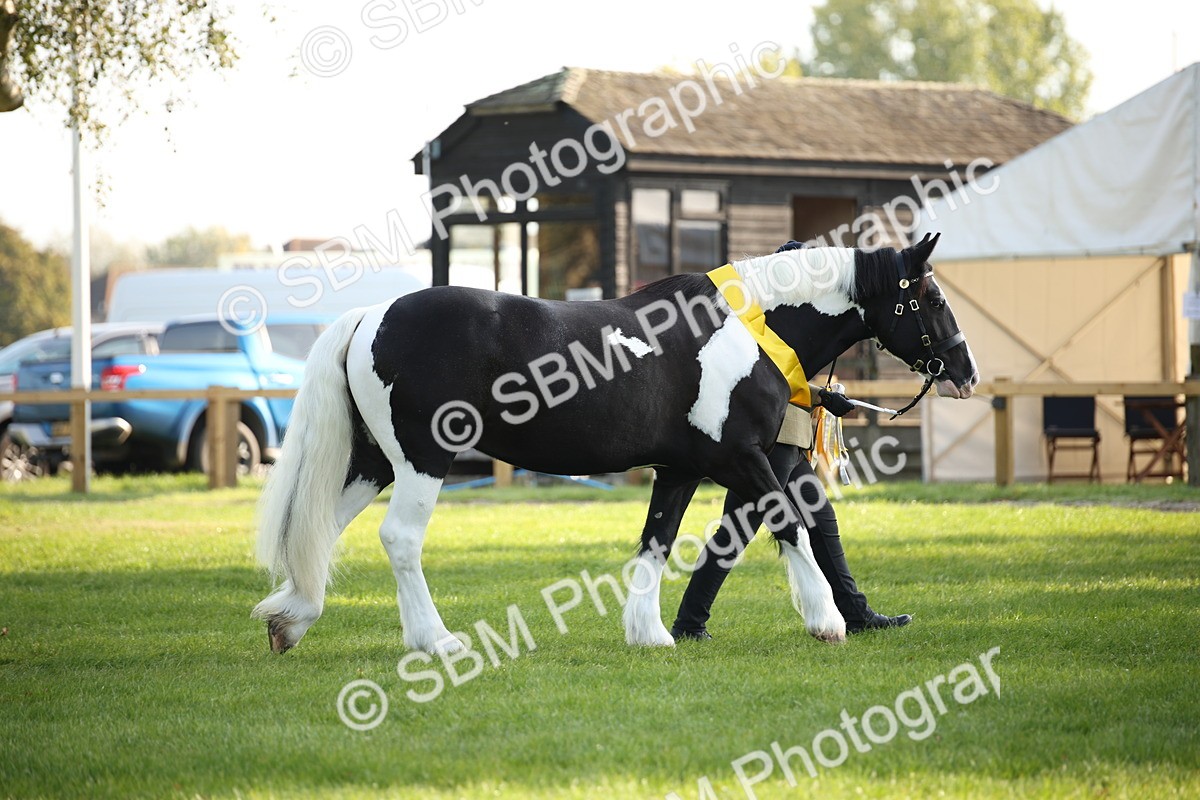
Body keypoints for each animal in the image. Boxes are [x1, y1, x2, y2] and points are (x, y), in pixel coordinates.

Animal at [252, 232, 978, 654]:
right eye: (932, 297)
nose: (966, 373)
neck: (746, 328)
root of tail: (371, 315)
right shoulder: (741, 458)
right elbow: (791, 523)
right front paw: (827, 620)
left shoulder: (680, 469)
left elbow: (656, 544)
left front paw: (651, 634)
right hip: (425, 462)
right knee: (399, 539)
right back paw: (437, 641)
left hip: (376, 463)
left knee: (322, 528)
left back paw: (292, 619)